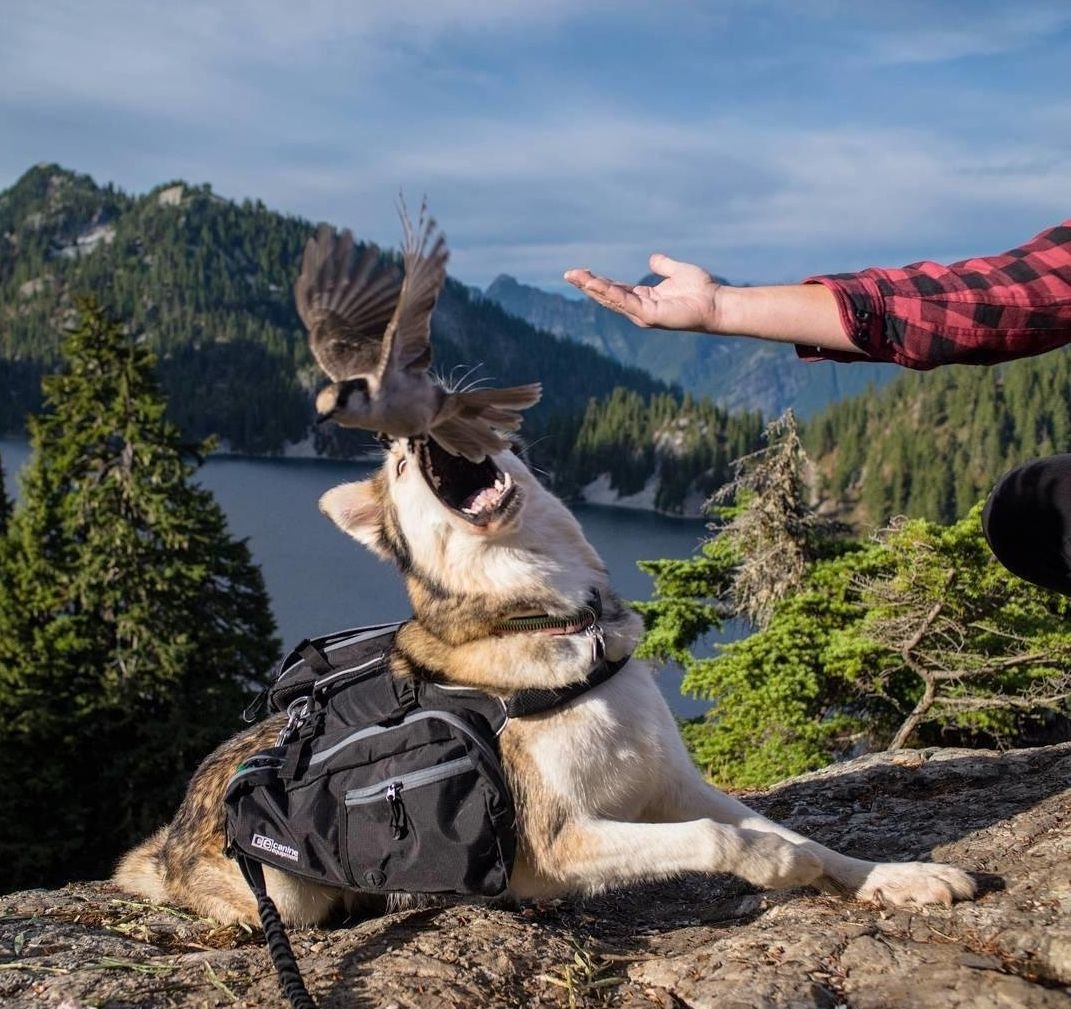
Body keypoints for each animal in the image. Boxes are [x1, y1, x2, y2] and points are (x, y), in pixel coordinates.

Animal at [112, 434, 976, 925]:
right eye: (399, 462)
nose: (408, 418)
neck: (563, 625)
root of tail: (168, 833)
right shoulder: (558, 844)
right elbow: (722, 837)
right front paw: (778, 869)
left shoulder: (672, 782)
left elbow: (795, 833)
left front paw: (895, 876)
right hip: (283, 895)